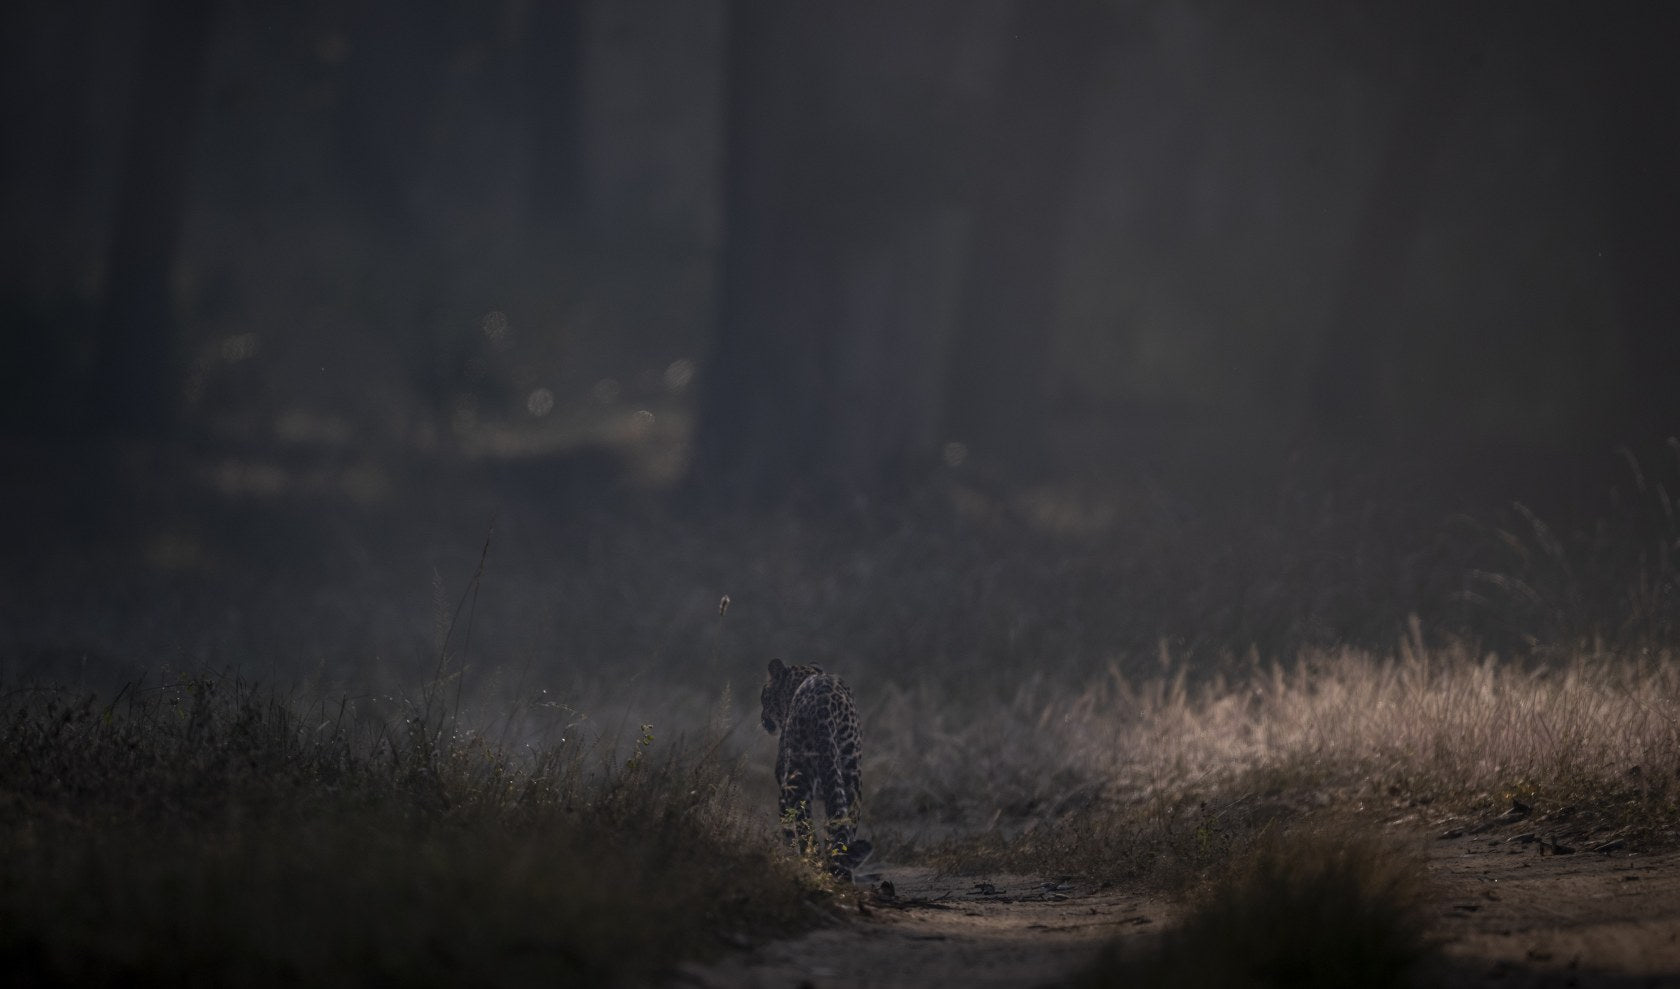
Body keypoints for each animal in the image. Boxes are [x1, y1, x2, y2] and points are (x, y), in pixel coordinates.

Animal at [760, 658, 869, 879]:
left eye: (764, 696)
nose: (762, 718)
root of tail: (823, 704)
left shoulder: (783, 792)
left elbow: (789, 832)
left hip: (798, 779)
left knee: (805, 828)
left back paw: (814, 865)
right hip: (850, 774)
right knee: (843, 822)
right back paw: (838, 871)